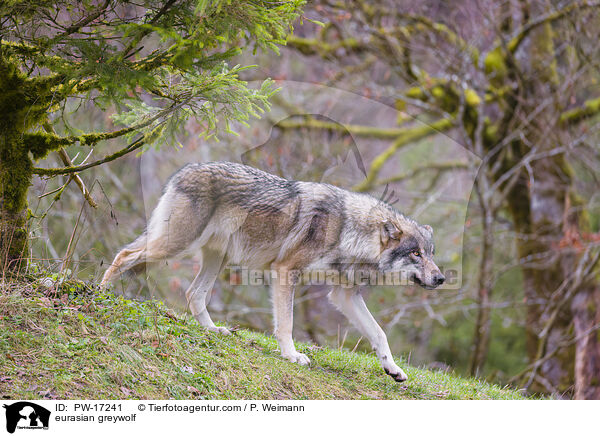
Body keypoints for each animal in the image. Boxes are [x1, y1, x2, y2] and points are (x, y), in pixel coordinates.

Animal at [101, 160, 442, 382]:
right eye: (415, 253)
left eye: (431, 253)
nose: (441, 278)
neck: (350, 230)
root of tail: (182, 172)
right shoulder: (285, 271)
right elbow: (287, 323)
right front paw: (292, 356)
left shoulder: (344, 295)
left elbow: (379, 333)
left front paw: (393, 369)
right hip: (176, 247)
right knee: (123, 255)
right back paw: (100, 294)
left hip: (215, 258)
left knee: (193, 293)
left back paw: (213, 330)